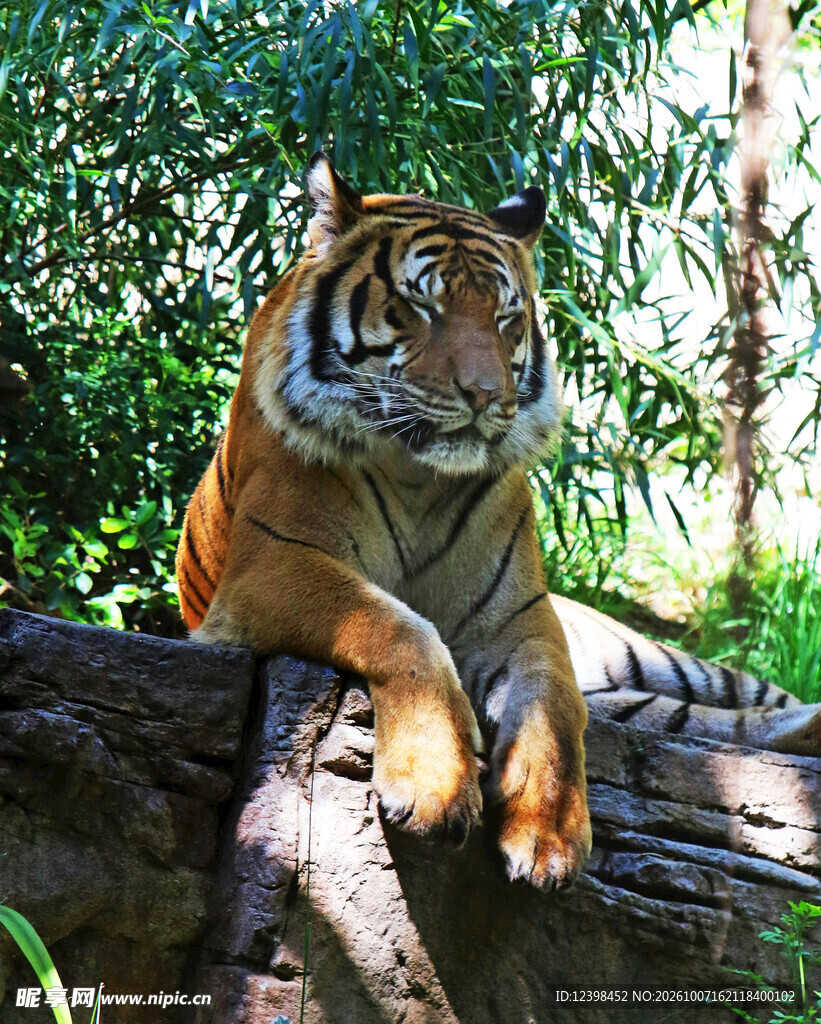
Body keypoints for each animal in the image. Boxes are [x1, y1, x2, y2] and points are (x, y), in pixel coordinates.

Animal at [176, 153, 820, 891]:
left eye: (507, 316)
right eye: (420, 306)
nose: (485, 395)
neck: (417, 473)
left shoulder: (520, 614)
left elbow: (552, 702)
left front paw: (547, 836)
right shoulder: (273, 565)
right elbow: (401, 626)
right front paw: (432, 786)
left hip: (658, 658)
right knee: (700, 723)